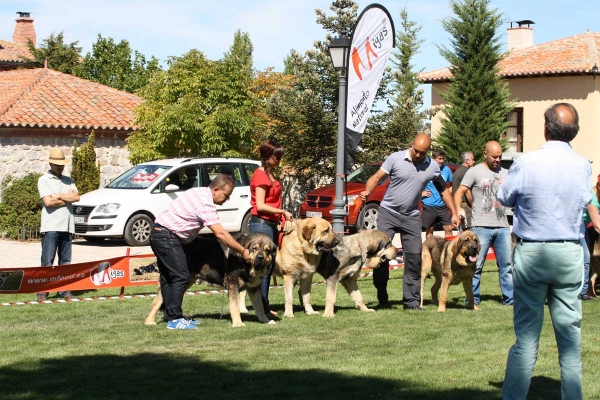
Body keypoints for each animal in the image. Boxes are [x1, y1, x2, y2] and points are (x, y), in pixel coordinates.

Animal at [145, 234, 276, 328]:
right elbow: (235, 306)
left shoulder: (254, 289)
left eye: (267, 250)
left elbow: (260, 307)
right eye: (254, 248)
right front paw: (238, 323)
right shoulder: (233, 285)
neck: (245, 263)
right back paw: (150, 321)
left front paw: (266, 321)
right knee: (156, 301)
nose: (260, 258)